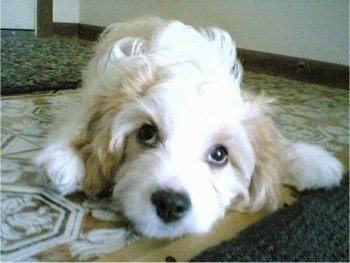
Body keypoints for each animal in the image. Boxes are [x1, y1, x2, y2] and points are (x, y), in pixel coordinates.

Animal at [37, 16, 344, 239]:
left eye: (219, 154)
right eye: (147, 134)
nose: (170, 205)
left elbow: (279, 147)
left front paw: (313, 162)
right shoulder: (97, 93)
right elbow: (78, 125)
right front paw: (65, 161)